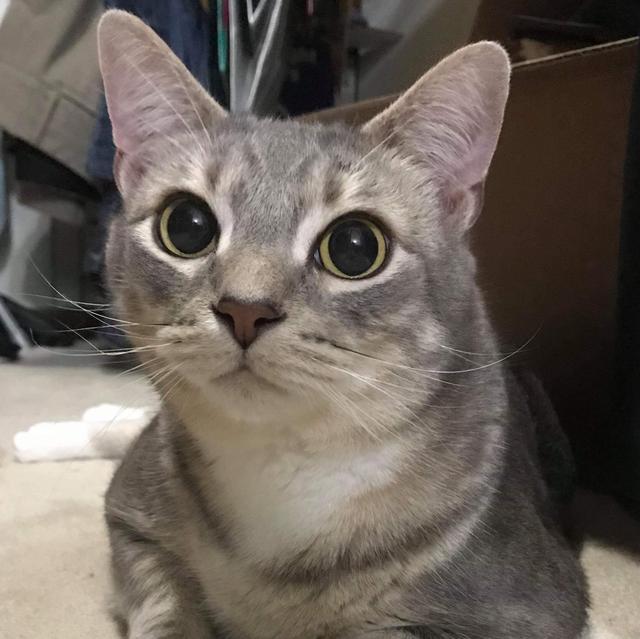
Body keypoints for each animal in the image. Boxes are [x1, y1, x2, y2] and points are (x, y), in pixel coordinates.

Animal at [98, 10, 589, 639]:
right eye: (185, 225)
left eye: (354, 247)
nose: (245, 308)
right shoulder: (128, 516)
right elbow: (166, 599)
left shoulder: (528, 606)